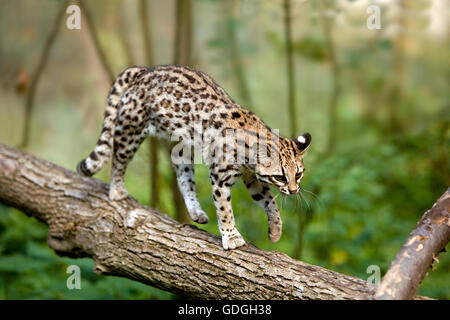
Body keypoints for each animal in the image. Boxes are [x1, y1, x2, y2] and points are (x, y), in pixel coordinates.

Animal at [77, 65, 312, 250]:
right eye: (280, 177)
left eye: (298, 174)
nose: (294, 190)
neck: (249, 160)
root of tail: (145, 70)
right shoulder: (220, 178)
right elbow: (224, 209)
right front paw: (231, 236)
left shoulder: (252, 179)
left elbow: (269, 201)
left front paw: (275, 229)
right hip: (131, 130)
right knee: (118, 159)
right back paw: (117, 190)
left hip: (180, 149)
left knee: (184, 179)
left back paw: (196, 210)